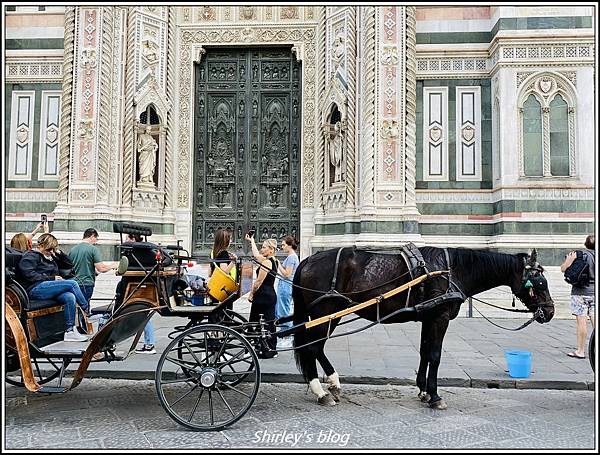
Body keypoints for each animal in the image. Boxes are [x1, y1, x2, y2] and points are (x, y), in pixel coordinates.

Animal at [290, 248, 552, 412]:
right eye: (540, 283)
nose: (549, 311)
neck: (451, 269)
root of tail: (307, 260)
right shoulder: (440, 317)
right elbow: (435, 355)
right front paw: (435, 397)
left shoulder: (429, 317)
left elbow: (425, 352)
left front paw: (424, 390)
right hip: (326, 312)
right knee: (312, 348)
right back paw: (321, 392)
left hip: (329, 314)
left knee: (315, 348)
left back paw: (333, 384)